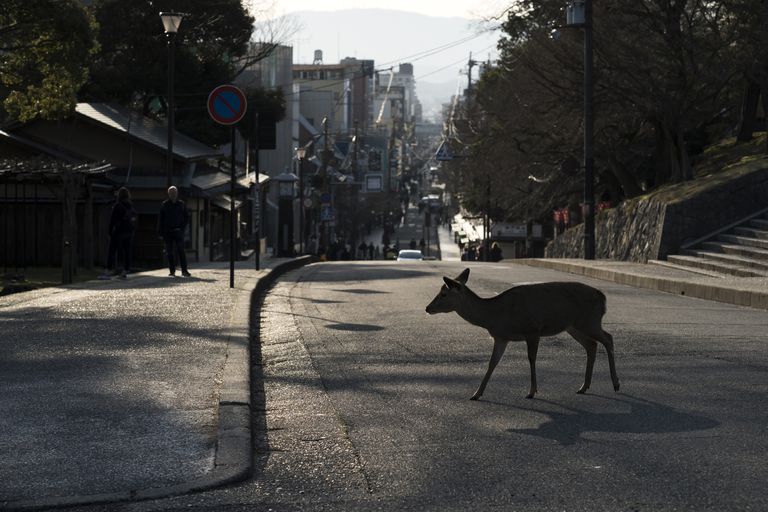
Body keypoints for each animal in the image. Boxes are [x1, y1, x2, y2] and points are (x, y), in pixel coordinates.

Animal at [426, 268, 616, 400]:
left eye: (443, 294)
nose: (427, 308)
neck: (496, 316)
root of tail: (603, 298)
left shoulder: (533, 330)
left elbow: (531, 359)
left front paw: (532, 391)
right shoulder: (501, 337)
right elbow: (492, 363)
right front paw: (476, 393)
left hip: (589, 321)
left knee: (608, 338)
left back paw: (616, 383)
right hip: (574, 326)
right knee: (592, 345)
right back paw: (584, 386)